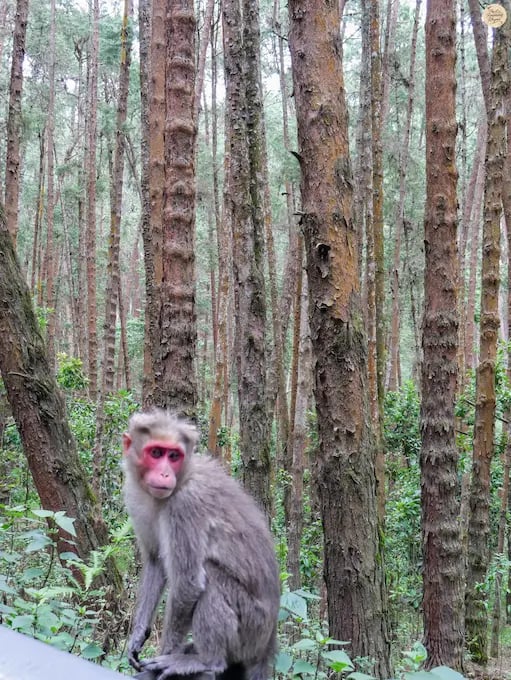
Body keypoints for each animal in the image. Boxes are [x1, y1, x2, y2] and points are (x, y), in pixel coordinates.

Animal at [122, 409, 280, 680]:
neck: (181, 480)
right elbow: (155, 560)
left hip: (252, 629)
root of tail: (267, 646)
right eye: (156, 452)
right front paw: (138, 634)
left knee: (213, 579)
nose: (165, 474)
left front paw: (167, 652)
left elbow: (188, 584)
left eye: (174, 456)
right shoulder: (136, 496)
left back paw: (206, 660)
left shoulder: (184, 507)